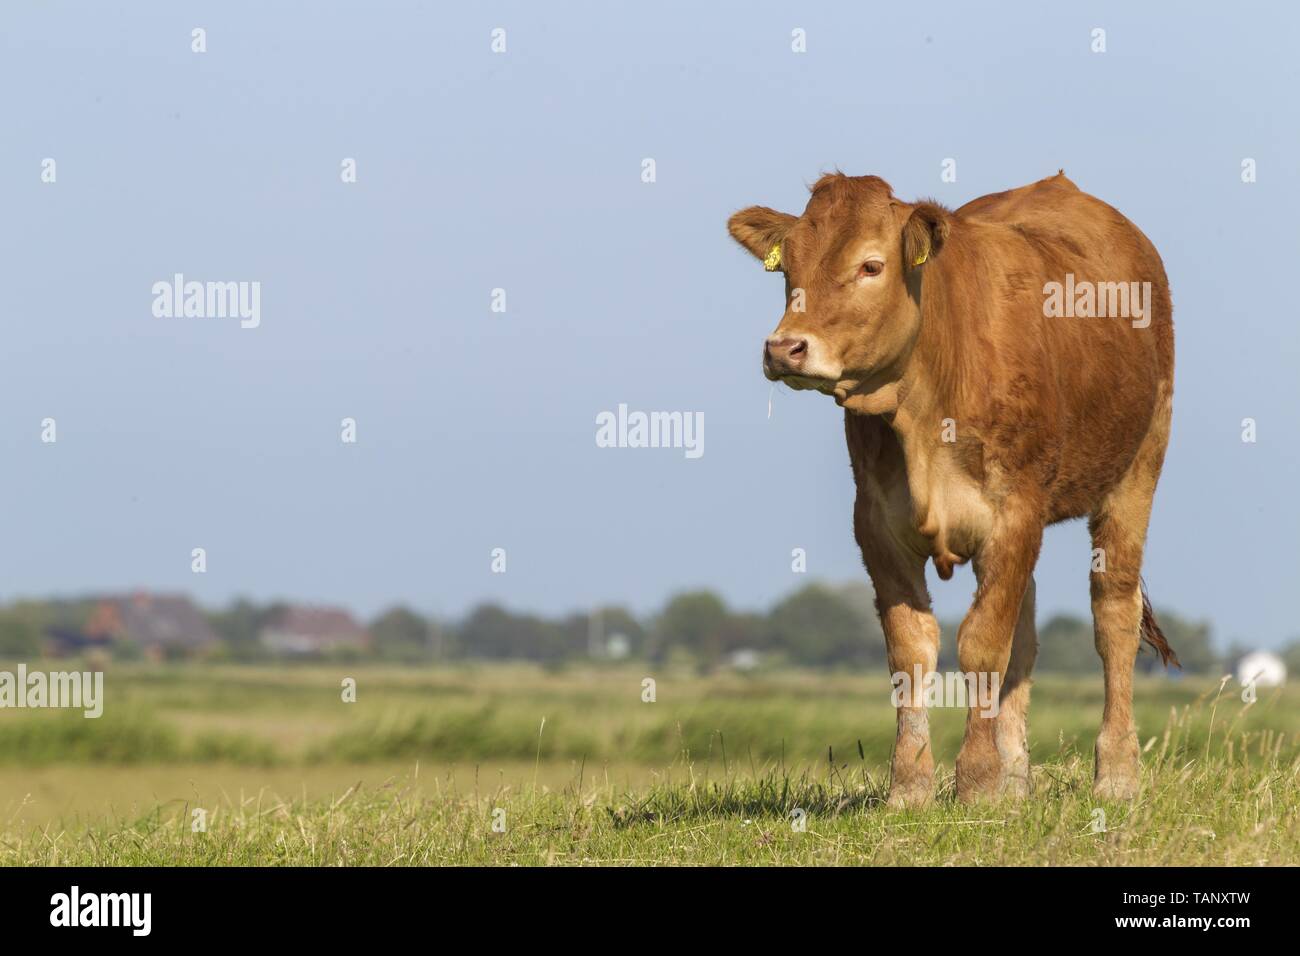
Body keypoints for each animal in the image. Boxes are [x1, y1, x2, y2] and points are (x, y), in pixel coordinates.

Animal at [728, 171, 1176, 805]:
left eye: (871, 265)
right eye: (787, 265)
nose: (784, 348)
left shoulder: (1014, 513)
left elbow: (983, 643)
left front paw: (979, 781)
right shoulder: (877, 525)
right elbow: (913, 649)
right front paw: (912, 785)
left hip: (1137, 468)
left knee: (1113, 614)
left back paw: (1115, 774)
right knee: (1027, 632)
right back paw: (1017, 780)